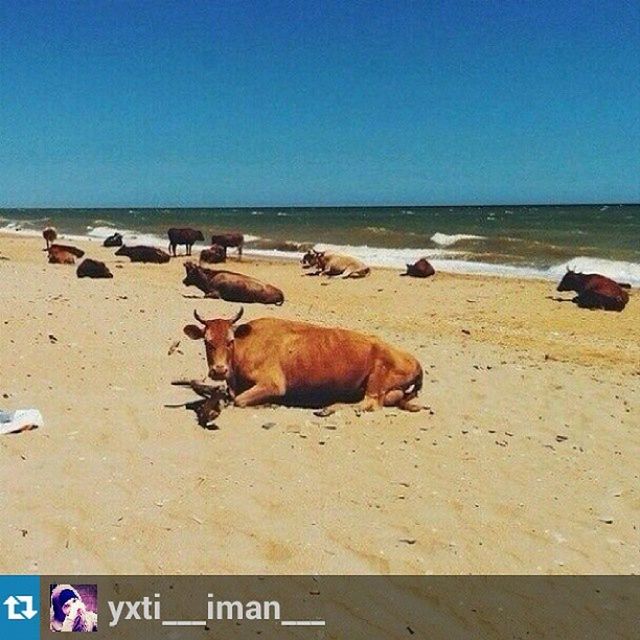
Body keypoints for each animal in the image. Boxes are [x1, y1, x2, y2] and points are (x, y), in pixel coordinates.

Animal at [184, 308, 424, 410]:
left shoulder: (273, 384)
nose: (219, 370)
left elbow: (239, 400)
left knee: (368, 404)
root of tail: (414, 360)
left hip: (376, 380)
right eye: (207, 342)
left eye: (230, 341)